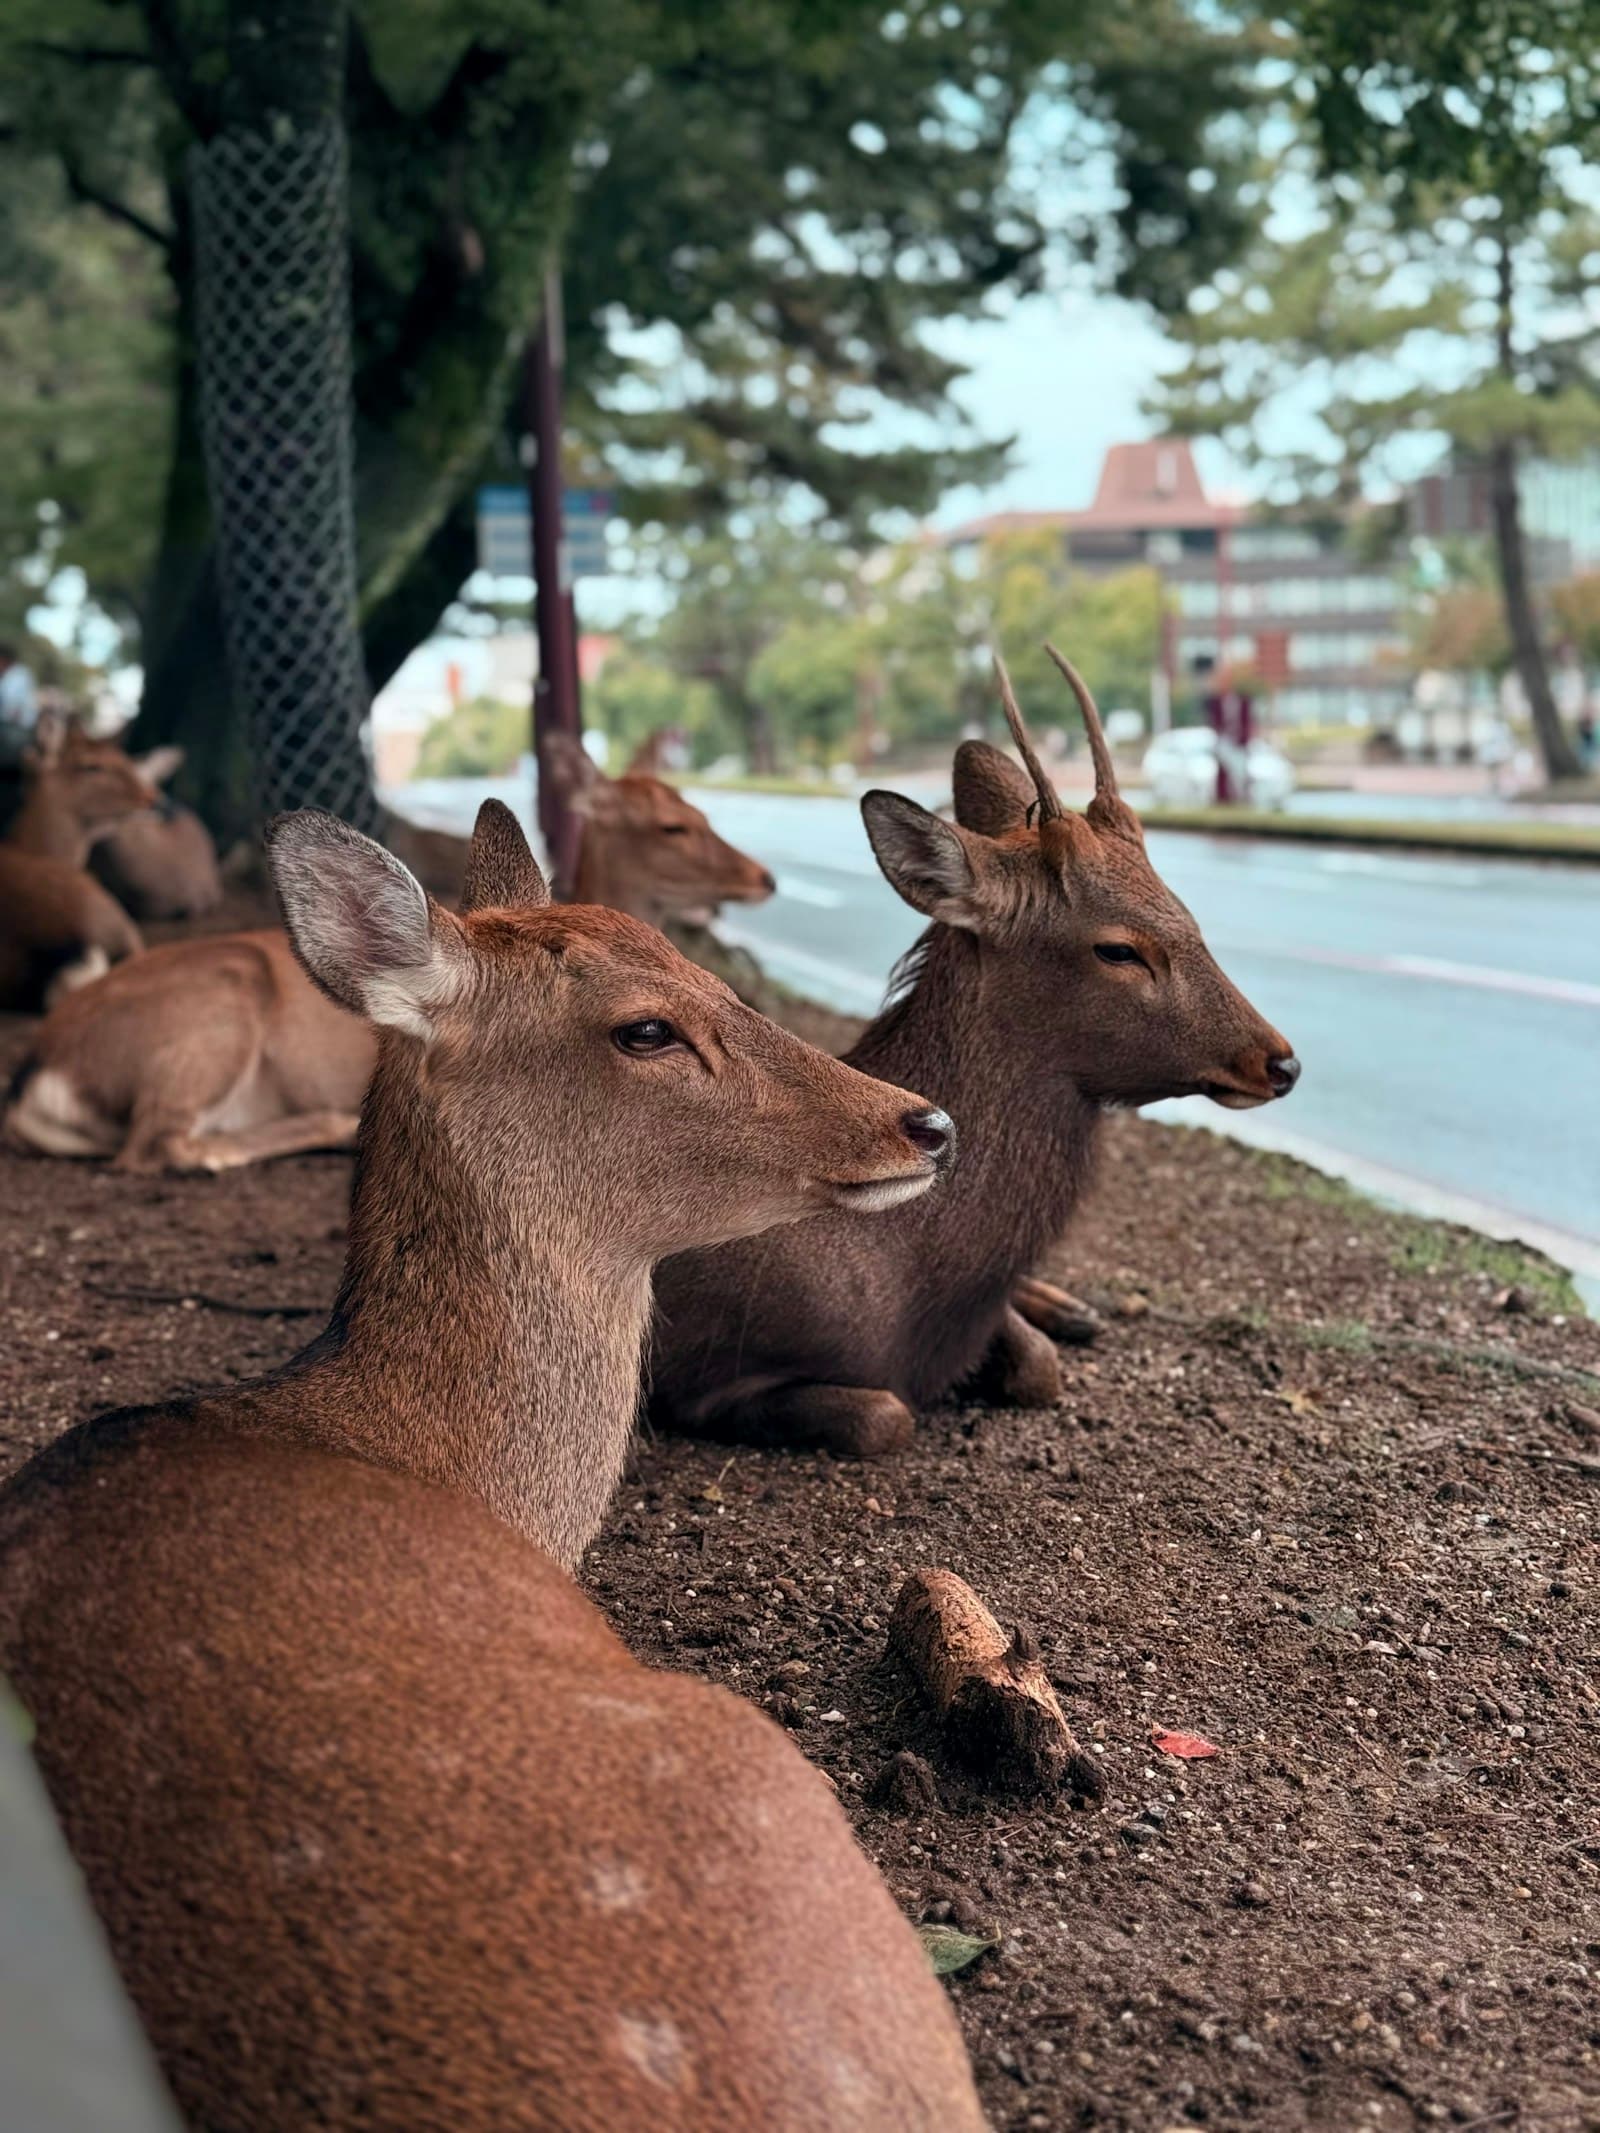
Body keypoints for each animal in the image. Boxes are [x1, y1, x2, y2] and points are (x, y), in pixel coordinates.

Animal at [648, 645, 1301, 1458]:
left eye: (1190, 915)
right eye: (1119, 948)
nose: (1279, 1061)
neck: (911, 1284)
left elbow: (1039, 1367)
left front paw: (1046, 1322)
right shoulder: (697, 1373)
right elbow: (887, 1415)